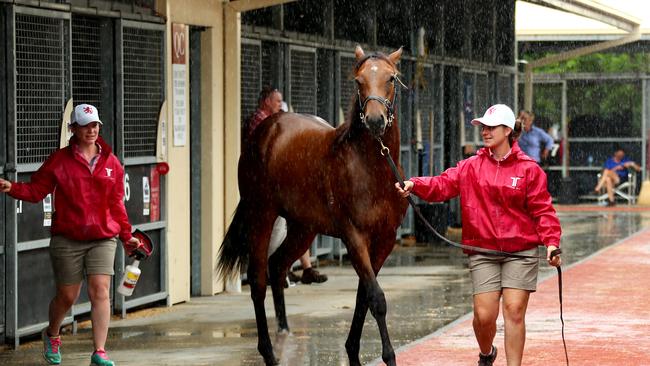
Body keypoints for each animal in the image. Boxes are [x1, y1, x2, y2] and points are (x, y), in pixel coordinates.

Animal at [220, 46, 408, 366]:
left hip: (302, 228)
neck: (372, 169)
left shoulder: (385, 239)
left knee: (277, 265)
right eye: (358, 81)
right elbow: (376, 298)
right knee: (258, 280)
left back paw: (285, 331)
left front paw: (352, 351)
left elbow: (363, 296)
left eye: (391, 78)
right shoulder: (354, 237)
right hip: (262, 215)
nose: (374, 120)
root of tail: (267, 128)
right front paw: (389, 356)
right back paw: (269, 352)